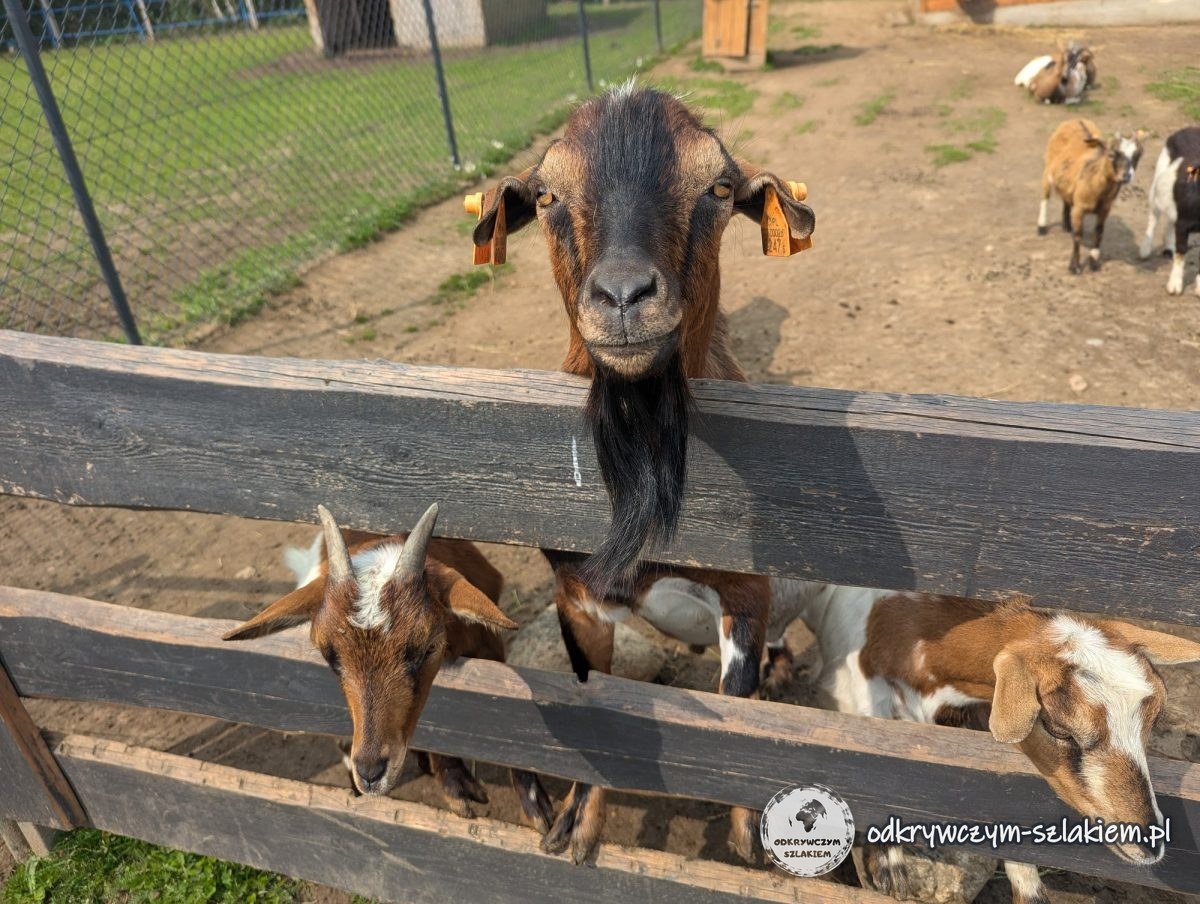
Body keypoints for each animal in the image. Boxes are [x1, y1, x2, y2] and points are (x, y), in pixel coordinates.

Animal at [223, 504, 553, 831]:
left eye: (427, 648)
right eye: (330, 656)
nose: (370, 773)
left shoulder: (491, 649)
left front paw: (537, 807)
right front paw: (456, 785)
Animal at [467, 83, 815, 863]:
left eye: (719, 188)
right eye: (546, 195)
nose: (624, 296)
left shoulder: (748, 592)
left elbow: (735, 703)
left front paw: (748, 836)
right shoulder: (577, 595)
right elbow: (599, 695)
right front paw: (574, 823)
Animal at [1037, 119, 1143, 274]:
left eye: (1137, 156)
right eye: (1111, 154)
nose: (1127, 176)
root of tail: (1075, 120)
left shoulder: (1105, 209)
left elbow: (1099, 233)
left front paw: (1094, 262)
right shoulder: (1079, 209)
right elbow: (1077, 235)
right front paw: (1074, 266)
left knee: (1066, 197)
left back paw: (1066, 225)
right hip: (1048, 168)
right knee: (1045, 196)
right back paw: (1041, 227)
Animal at [1139, 126, 1200, 297]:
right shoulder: (1184, 222)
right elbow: (1181, 251)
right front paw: (1174, 286)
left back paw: (1168, 247)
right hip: (1156, 186)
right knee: (1154, 217)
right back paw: (1145, 249)